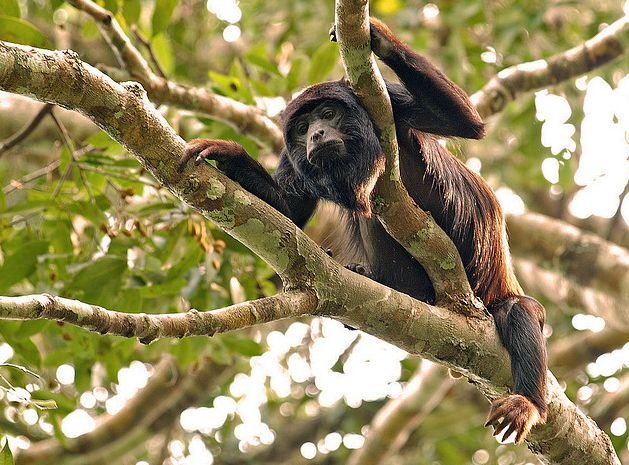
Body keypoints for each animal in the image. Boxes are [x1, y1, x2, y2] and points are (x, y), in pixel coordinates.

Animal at [179, 18, 548, 444]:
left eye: (328, 113)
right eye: (303, 127)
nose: (317, 135)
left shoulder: (388, 101)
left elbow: (466, 122)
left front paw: (378, 37)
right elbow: (287, 208)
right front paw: (229, 154)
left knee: (520, 310)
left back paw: (528, 402)